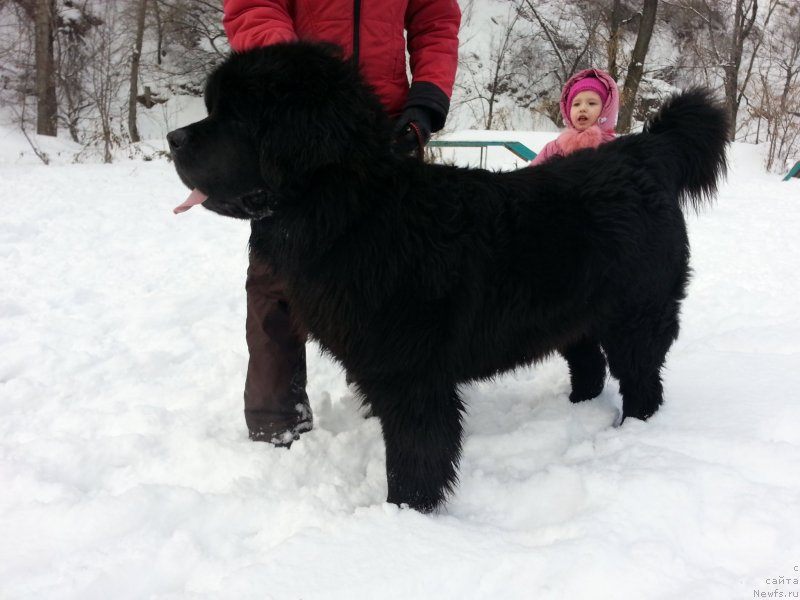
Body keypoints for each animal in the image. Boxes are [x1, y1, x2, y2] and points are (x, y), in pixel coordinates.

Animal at [170, 42, 732, 510]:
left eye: (236, 116)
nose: (173, 138)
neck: (357, 211)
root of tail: (644, 152)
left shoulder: (412, 374)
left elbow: (417, 453)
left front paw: (405, 516)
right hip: (577, 310)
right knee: (589, 364)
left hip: (637, 314)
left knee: (641, 378)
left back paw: (631, 431)